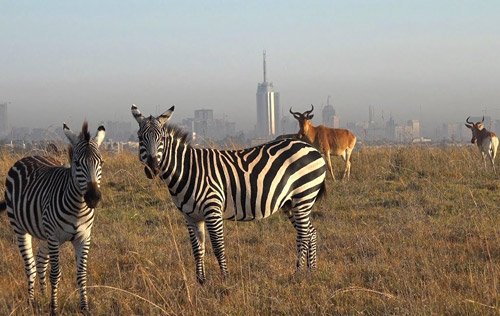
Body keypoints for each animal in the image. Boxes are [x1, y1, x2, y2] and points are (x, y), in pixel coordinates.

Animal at [0, 122, 105, 314]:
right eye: (77, 163)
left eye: (101, 162)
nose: (93, 198)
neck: (78, 207)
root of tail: (30, 155)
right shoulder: (55, 237)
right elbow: (55, 274)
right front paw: (54, 308)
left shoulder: (84, 237)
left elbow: (81, 274)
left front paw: (84, 308)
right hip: (21, 229)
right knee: (31, 266)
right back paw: (32, 301)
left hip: (45, 233)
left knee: (41, 260)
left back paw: (42, 296)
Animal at [131, 104, 326, 284]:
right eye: (140, 138)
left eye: (162, 138)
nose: (153, 168)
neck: (188, 170)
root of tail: (311, 148)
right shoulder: (191, 216)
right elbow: (197, 249)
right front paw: (201, 282)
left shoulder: (212, 210)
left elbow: (218, 247)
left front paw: (225, 279)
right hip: (290, 203)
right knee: (311, 232)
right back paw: (312, 272)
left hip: (303, 196)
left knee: (303, 235)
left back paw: (298, 274)